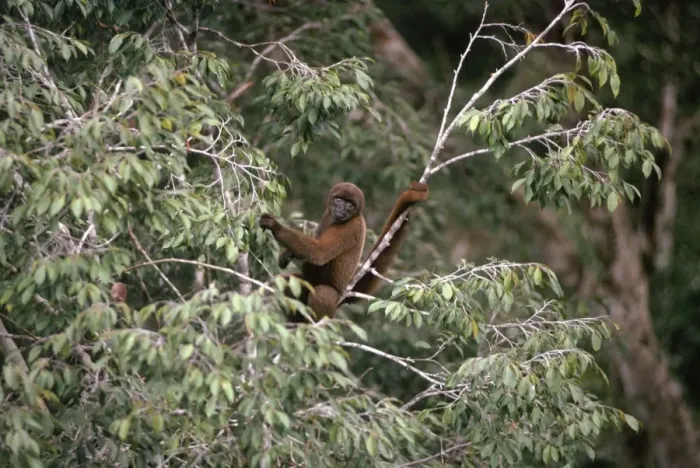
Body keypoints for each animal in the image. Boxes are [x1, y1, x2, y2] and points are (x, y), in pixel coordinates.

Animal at [259, 181, 428, 322]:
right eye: (339, 200)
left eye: (350, 205)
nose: (341, 208)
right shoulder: (327, 214)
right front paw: (286, 254)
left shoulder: (350, 227)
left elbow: (319, 252)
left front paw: (276, 227)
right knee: (287, 280)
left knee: (324, 294)